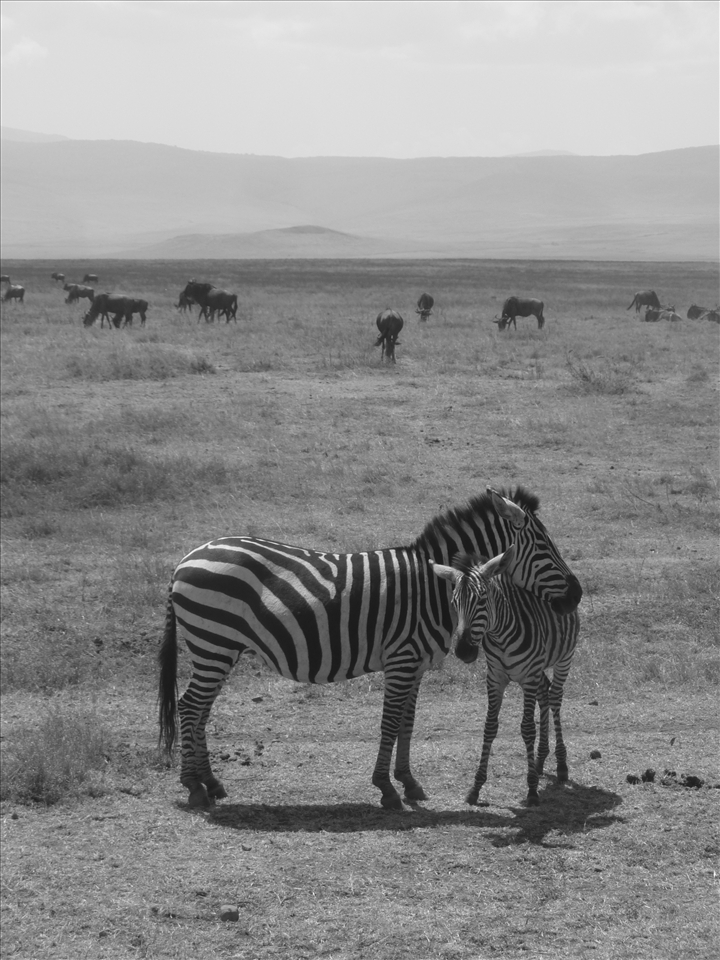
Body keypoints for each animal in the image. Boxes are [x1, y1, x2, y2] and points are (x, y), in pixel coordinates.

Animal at [431, 544, 580, 807]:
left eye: (482, 599)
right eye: (453, 602)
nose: (464, 651)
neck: (501, 636)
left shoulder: (529, 676)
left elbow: (527, 728)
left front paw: (532, 791)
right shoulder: (495, 677)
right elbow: (490, 726)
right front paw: (476, 787)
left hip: (564, 658)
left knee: (554, 698)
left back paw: (561, 765)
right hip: (538, 670)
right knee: (545, 695)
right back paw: (540, 760)